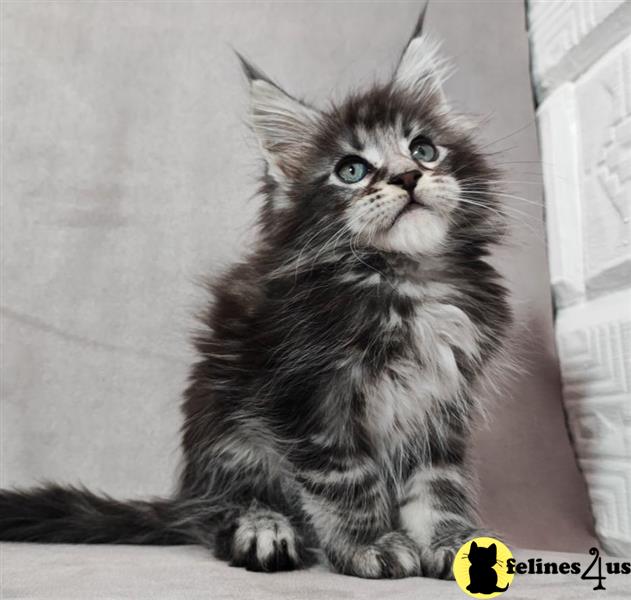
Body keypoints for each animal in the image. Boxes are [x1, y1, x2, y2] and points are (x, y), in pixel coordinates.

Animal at [0, 3, 512, 576]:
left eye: (423, 149)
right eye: (351, 170)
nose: (407, 177)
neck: (403, 278)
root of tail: (187, 491)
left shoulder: (441, 402)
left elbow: (437, 484)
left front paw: (453, 543)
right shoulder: (305, 399)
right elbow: (347, 480)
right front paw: (371, 543)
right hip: (229, 431)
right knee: (221, 510)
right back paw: (262, 530)